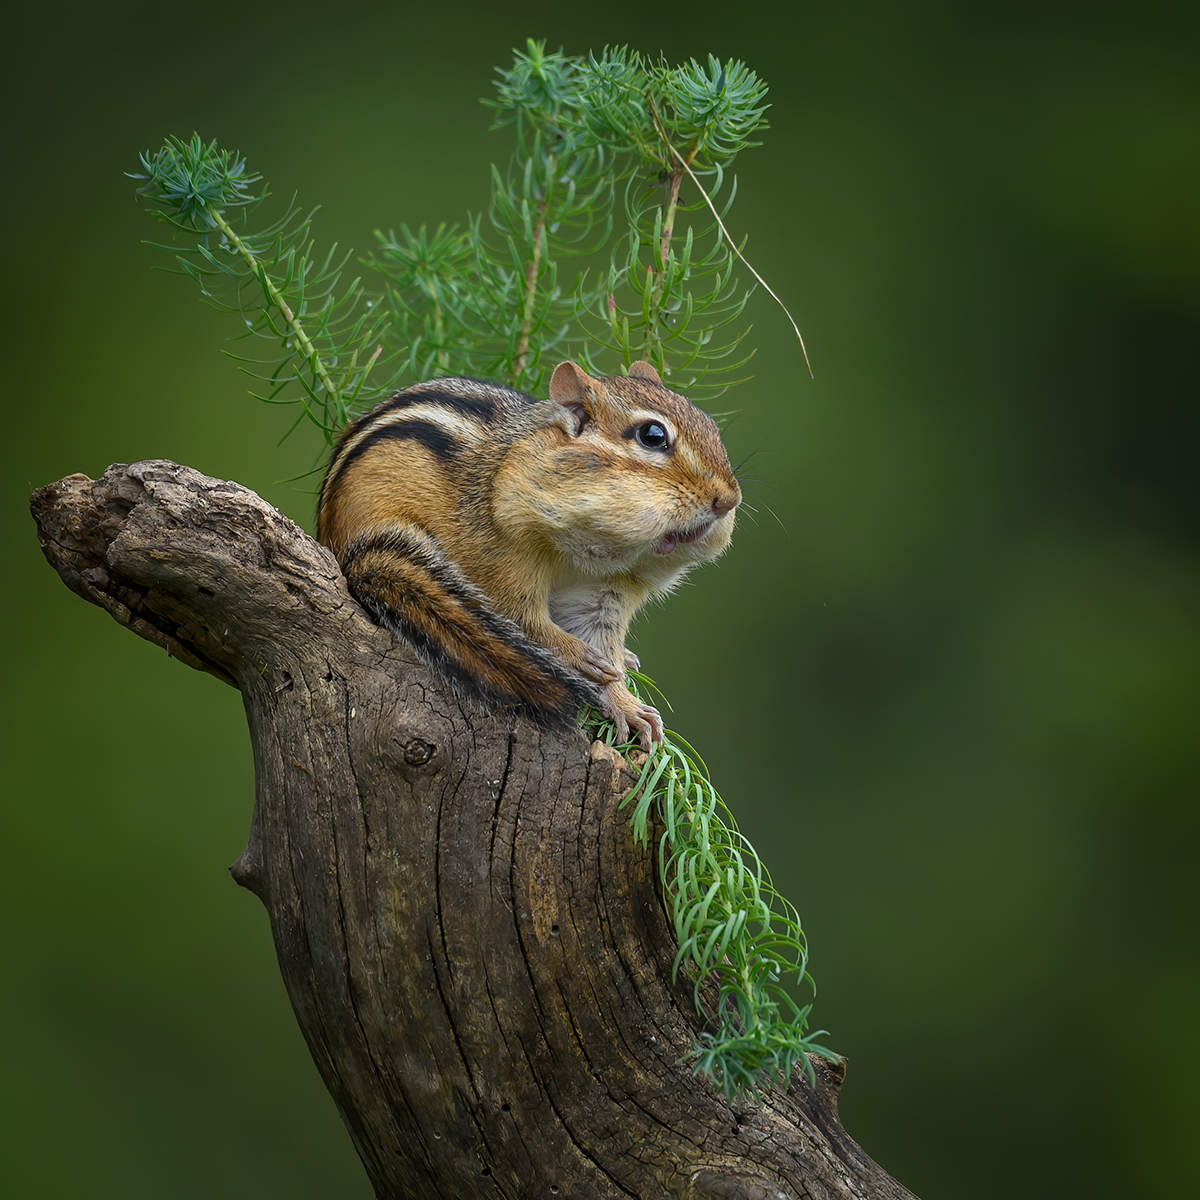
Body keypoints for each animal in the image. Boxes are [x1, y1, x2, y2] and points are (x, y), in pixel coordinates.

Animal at [316, 359, 741, 747]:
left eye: (712, 427)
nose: (728, 499)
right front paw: (577, 655)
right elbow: (524, 621)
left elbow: (603, 645)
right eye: (652, 435)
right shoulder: (499, 563)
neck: (591, 552)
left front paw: (627, 706)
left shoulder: (608, 590)